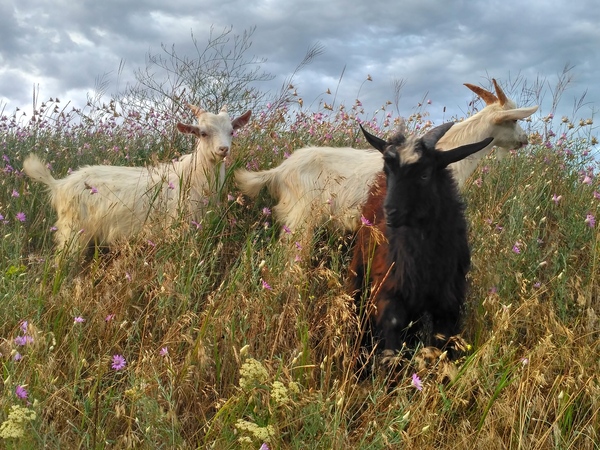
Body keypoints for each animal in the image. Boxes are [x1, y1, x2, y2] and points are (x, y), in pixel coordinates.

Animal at [24, 103, 251, 255]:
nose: (223, 149)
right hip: (71, 231)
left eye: (232, 131)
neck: (192, 175)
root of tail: (59, 185)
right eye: (202, 133)